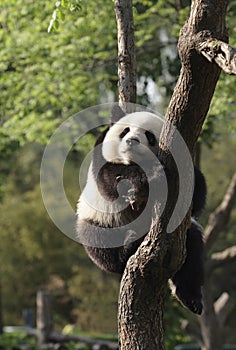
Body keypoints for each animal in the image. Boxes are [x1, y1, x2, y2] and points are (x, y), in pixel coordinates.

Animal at [76, 106, 206, 314]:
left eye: (149, 136)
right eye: (125, 131)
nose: (132, 141)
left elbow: (197, 195)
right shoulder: (101, 155)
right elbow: (110, 177)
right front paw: (148, 176)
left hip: (185, 236)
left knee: (192, 252)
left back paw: (190, 298)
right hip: (98, 220)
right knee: (101, 244)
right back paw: (127, 248)